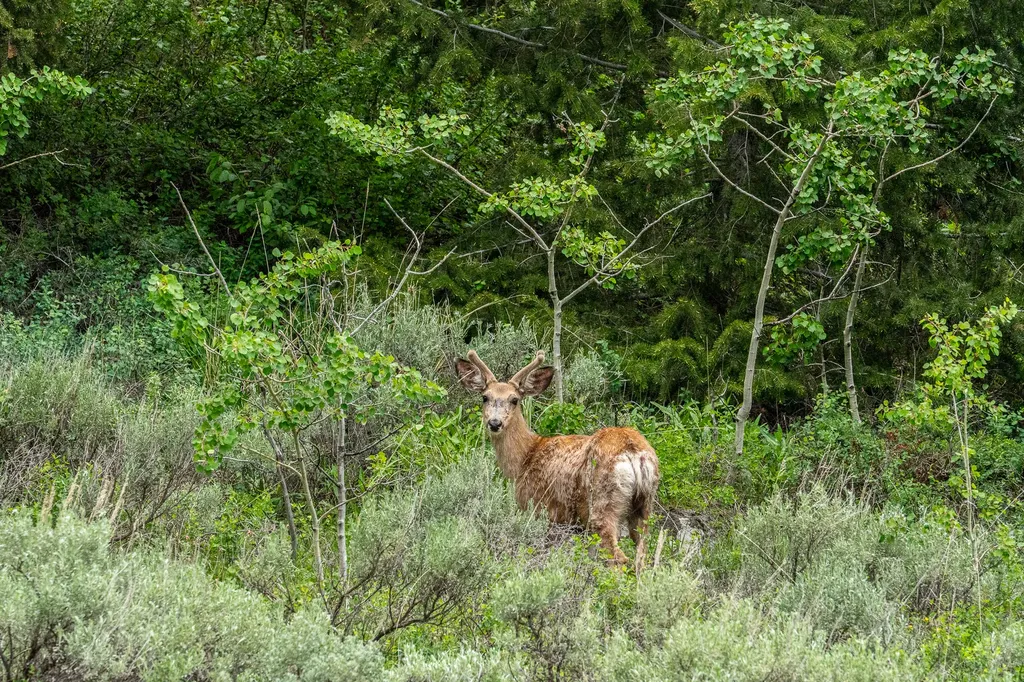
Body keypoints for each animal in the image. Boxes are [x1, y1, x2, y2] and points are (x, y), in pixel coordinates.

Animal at [456, 349, 659, 565]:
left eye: (514, 399)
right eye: (485, 397)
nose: (495, 423)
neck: (525, 458)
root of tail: (633, 452)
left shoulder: (539, 509)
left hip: (602, 503)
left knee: (618, 558)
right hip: (645, 506)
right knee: (643, 554)